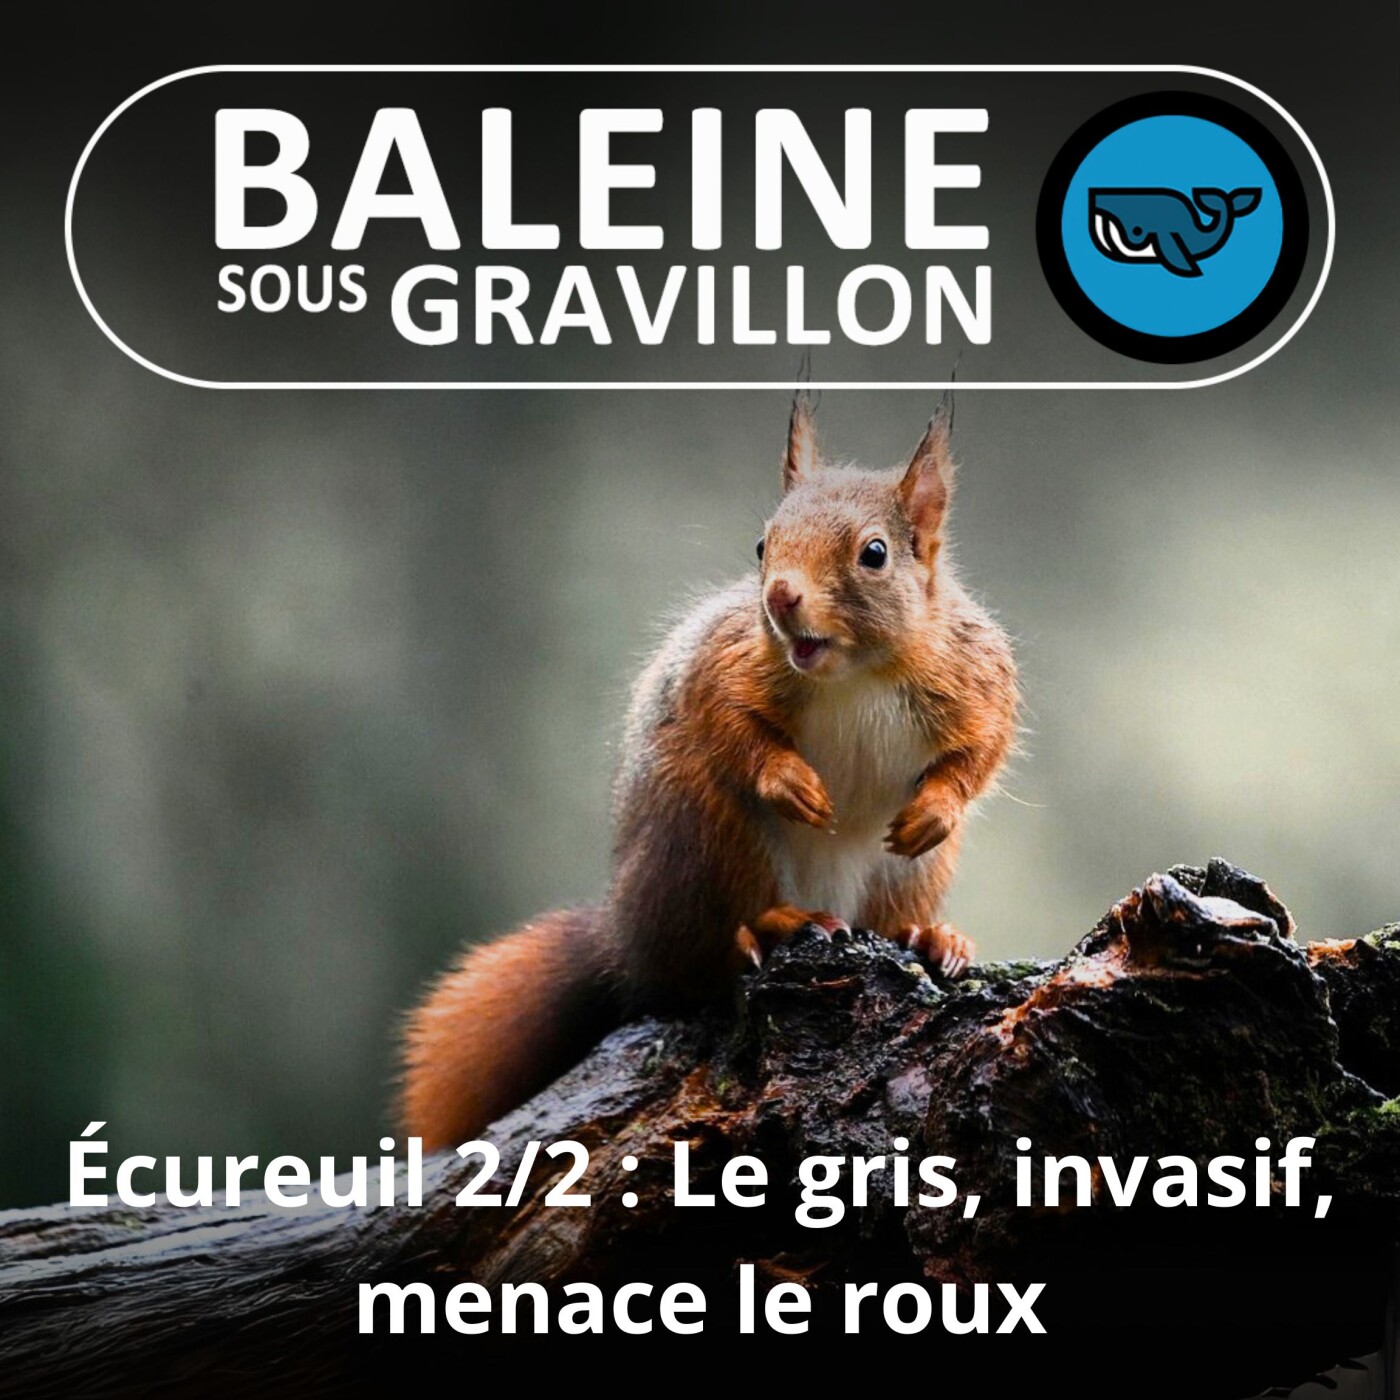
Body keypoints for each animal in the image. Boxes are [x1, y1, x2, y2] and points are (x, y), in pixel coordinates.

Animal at [400, 394, 1018, 1149]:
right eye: (762, 545)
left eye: (874, 554)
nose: (780, 598)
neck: (854, 673)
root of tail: (624, 941)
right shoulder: (725, 662)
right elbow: (726, 721)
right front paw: (789, 782)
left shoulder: (976, 675)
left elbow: (982, 747)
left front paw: (936, 809)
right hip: (708, 834)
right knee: (698, 964)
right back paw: (771, 928)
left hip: (904, 875)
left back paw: (928, 936)